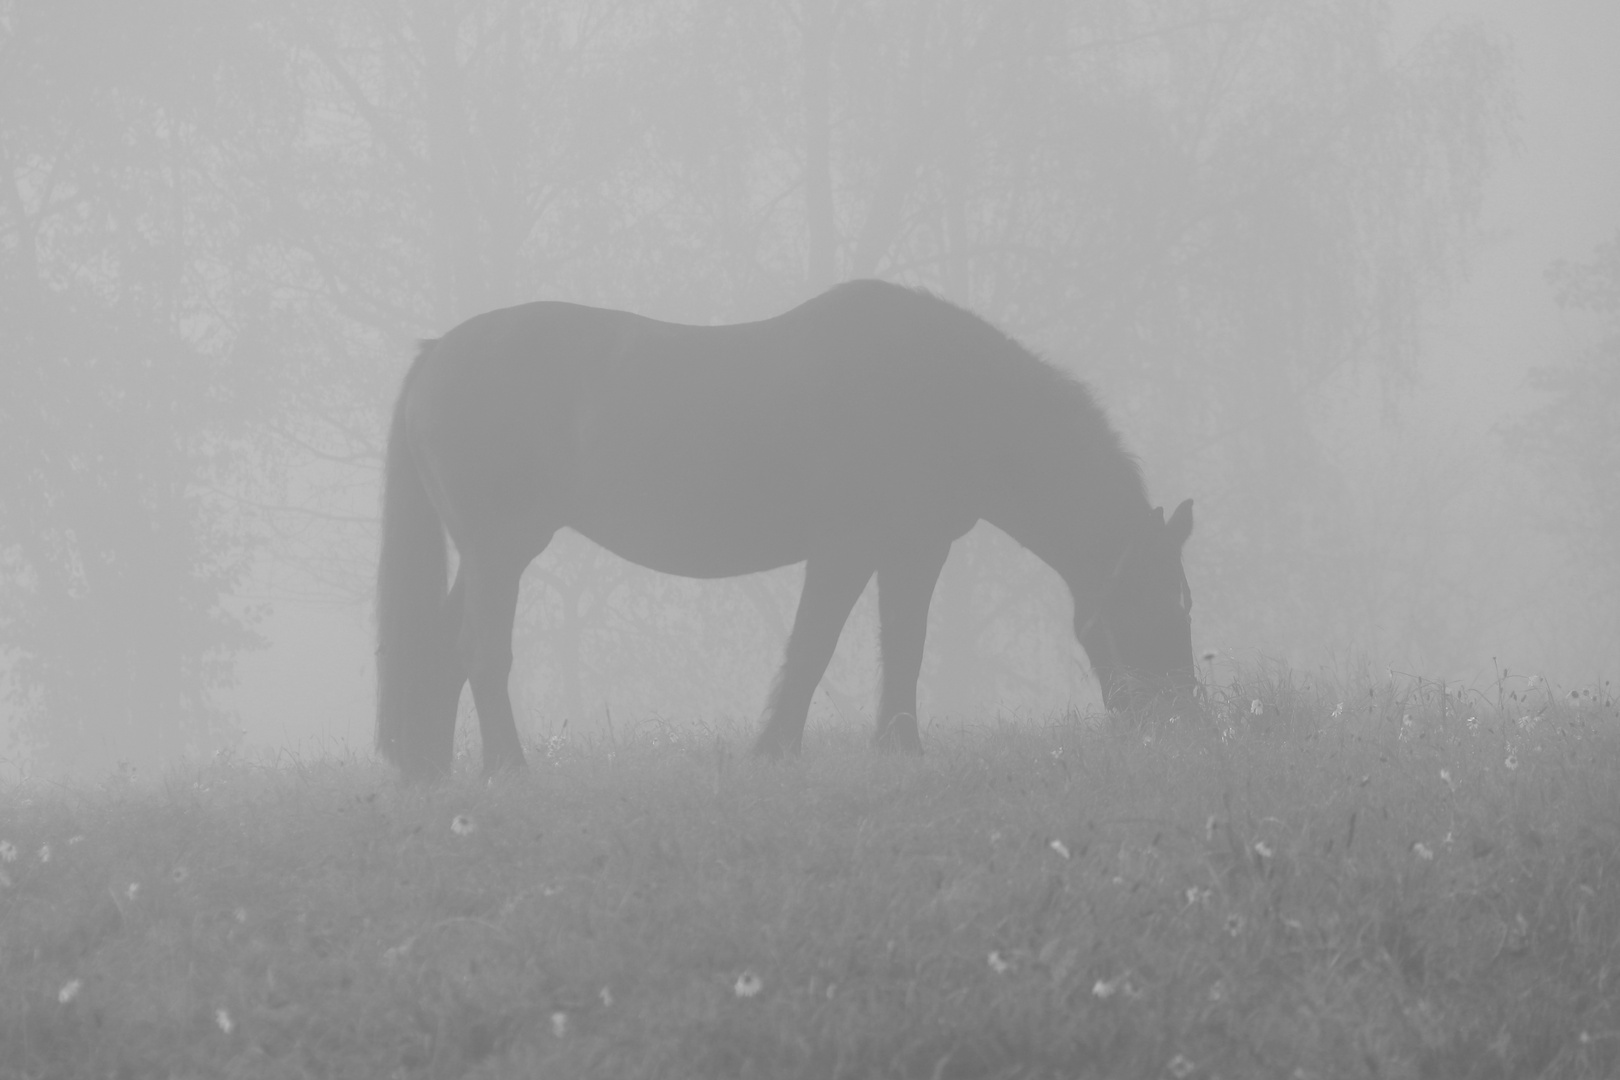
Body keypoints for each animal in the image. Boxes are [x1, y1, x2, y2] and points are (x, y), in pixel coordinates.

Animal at [372, 283, 1198, 780]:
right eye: (1168, 607)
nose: (1182, 722)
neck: (947, 393)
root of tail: (435, 355)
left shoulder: (903, 552)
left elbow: (884, 645)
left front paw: (879, 747)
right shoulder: (857, 551)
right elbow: (825, 649)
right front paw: (797, 749)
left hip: (487, 556)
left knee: (439, 652)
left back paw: (431, 773)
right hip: (500, 552)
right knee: (481, 654)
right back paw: (508, 769)